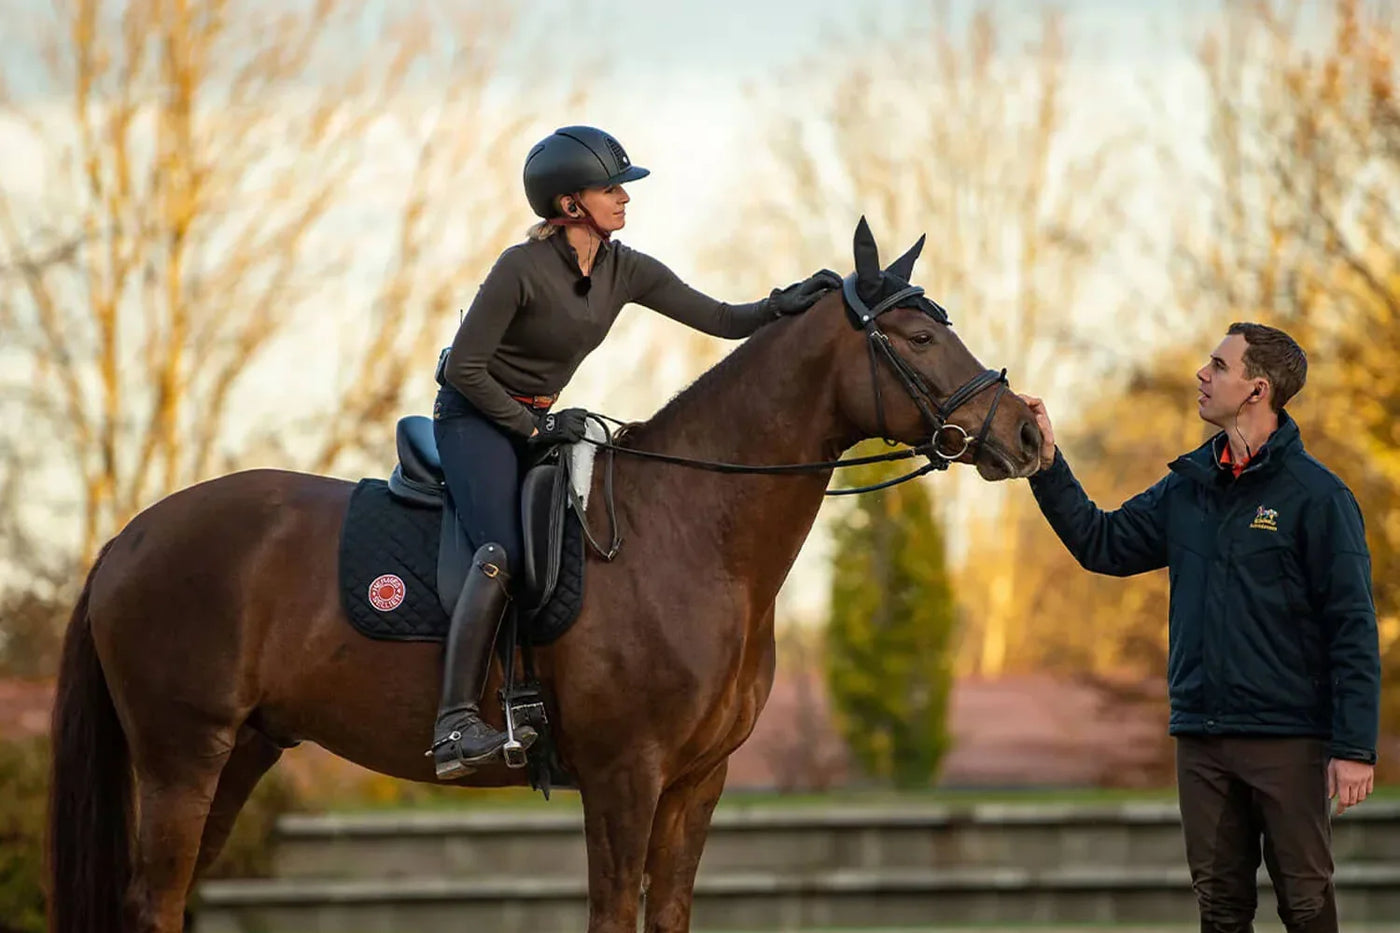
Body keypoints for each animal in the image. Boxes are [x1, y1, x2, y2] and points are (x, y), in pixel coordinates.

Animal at [46, 217, 1043, 933]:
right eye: (916, 336)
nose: (1027, 432)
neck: (690, 529)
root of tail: (129, 539)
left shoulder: (696, 783)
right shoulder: (624, 775)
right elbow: (611, 915)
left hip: (239, 752)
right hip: (183, 754)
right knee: (154, 902)